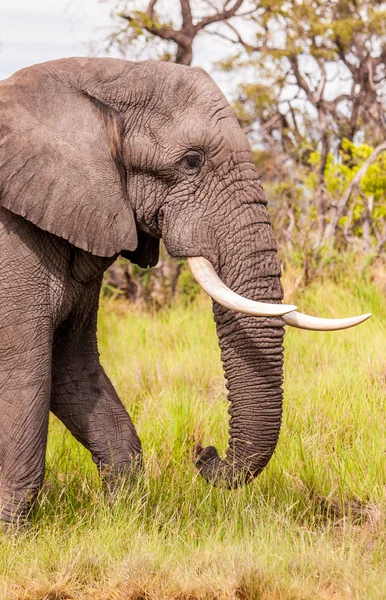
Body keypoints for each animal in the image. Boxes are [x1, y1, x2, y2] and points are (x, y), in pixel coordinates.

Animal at [0, 57, 370, 524]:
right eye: (192, 161)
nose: (203, 451)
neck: (91, 79)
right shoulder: (12, 242)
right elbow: (25, 372)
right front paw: (12, 531)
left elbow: (72, 366)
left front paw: (122, 518)